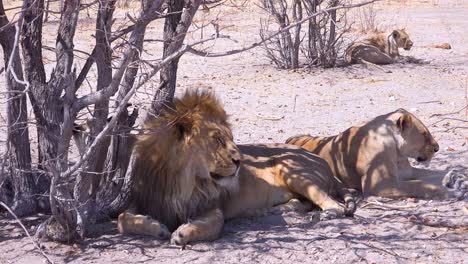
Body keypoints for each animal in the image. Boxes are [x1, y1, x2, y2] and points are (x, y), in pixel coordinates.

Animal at [288, 109, 466, 198]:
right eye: (424, 134)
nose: (437, 148)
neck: (396, 151)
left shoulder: (407, 172)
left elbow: (435, 174)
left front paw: (456, 177)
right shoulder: (381, 184)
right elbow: (421, 185)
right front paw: (451, 191)